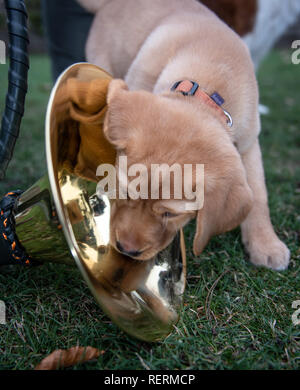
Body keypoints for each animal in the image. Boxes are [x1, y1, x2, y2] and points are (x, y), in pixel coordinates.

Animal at [78, 0, 290, 270]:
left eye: (170, 214)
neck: (206, 89)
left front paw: (266, 244)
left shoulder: (248, 142)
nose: (126, 249)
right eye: (125, 193)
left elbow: (259, 195)